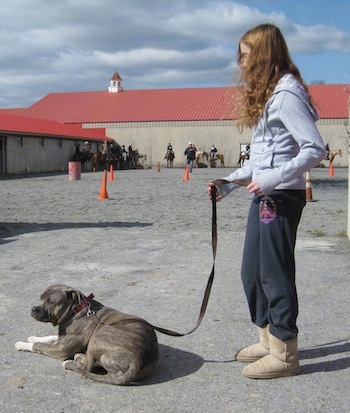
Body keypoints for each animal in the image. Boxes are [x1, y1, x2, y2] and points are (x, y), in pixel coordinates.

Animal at [14, 284, 159, 384]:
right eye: (41, 298)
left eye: (51, 302)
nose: (33, 309)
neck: (75, 310)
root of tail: (138, 360)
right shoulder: (62, 339)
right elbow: (50, 337)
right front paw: (33, 338)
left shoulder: (61, 349)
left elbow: (38, 346)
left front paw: (22, 344)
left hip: (100, 334)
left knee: (87, 367)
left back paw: (73, 361)